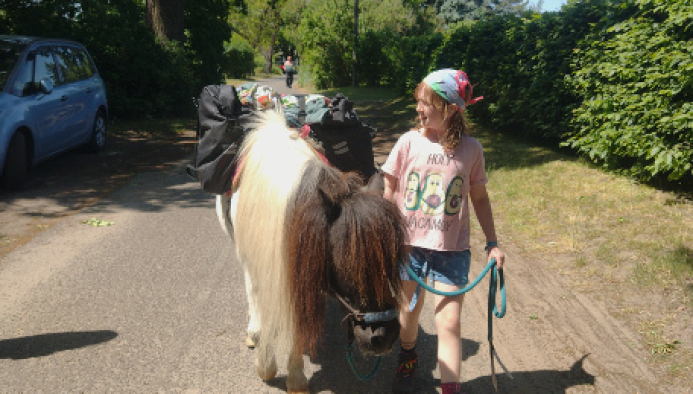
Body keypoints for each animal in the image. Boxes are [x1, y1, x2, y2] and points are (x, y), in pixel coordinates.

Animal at [215, 111, 410, 394]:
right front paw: (265, 365)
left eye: (394, 259)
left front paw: (296, 378)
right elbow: (263, 320)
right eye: (343, 263)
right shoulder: (258, 265)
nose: (384, 338)